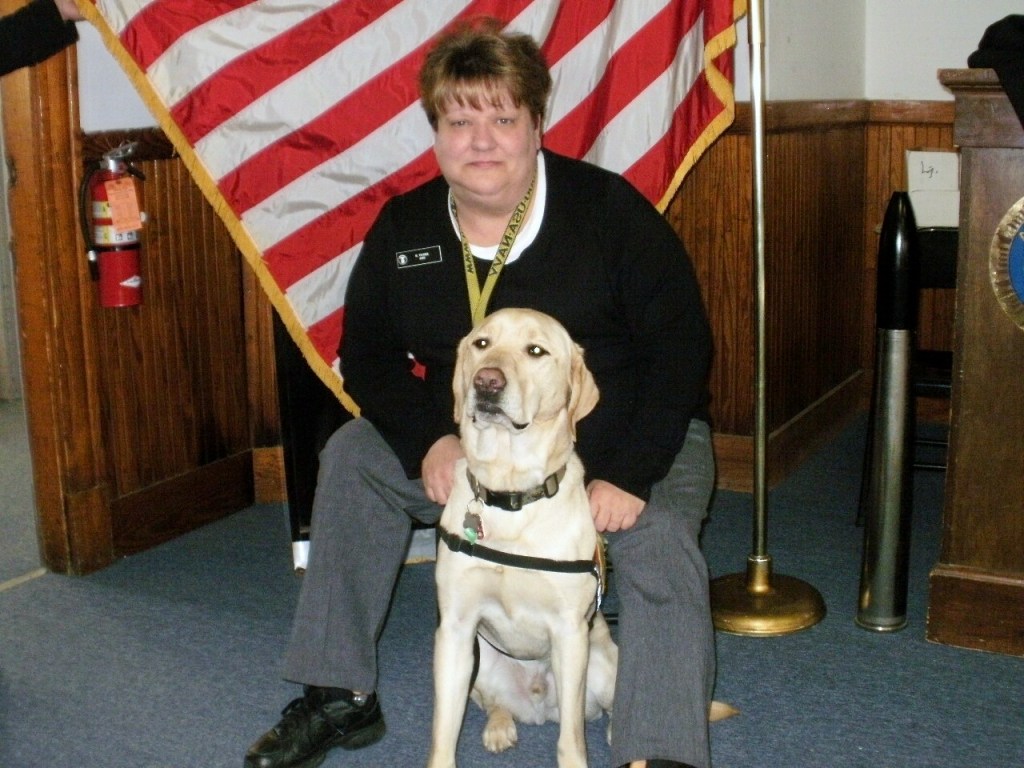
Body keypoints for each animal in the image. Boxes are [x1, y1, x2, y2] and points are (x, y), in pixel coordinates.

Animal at [425, 309, 614, 768]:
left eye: (536, 351)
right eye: (482, 344)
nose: (487, 382)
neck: (509, 491)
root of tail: (539, 706)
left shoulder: (570, 633)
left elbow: (571, 739)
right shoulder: (454, 629)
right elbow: (444, 730)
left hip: (601, 662)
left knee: (601, 709)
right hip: (482, 664)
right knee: (495, 704)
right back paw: (499, 727)